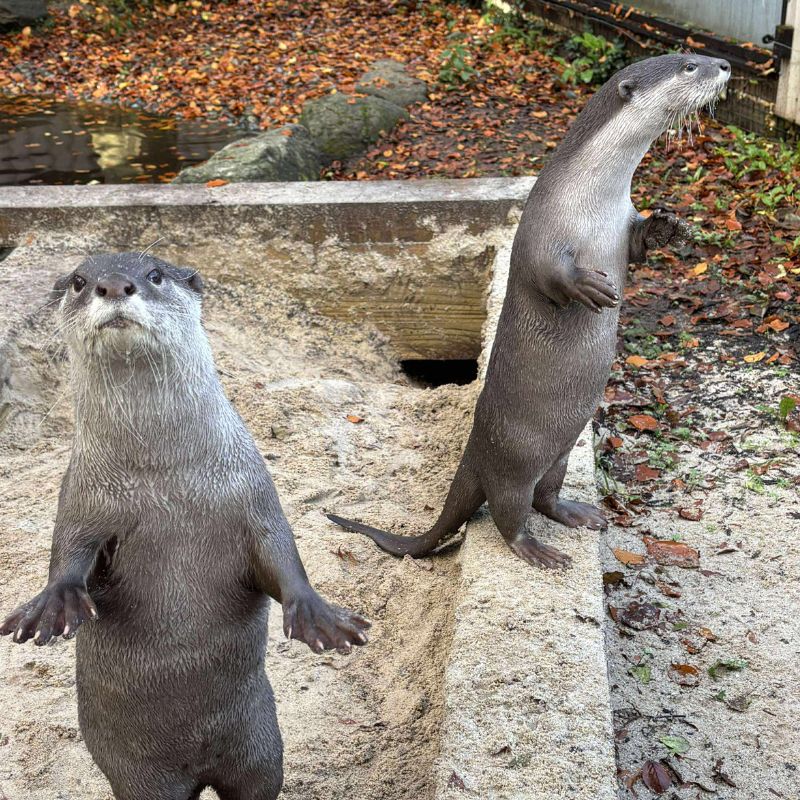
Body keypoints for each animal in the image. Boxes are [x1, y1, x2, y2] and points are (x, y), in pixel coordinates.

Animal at [0, 254, 370, 800]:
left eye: (154, 274)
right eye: (80, 281)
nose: (114, 285)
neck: (168, 479)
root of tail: (197, 765)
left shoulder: (253, 495)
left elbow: (281, 553)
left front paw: (318, 614)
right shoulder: (84, 497)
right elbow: (68, 550)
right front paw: (54, 603)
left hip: (260, 744)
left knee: (257, 781)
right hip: (140, 775)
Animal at [328, 54, 730, 569]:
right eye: (689, 66)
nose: (723, 64)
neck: (592, 200)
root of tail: (474, 455)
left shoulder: (623, 223)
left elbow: (641, 244)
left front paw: (670, 225)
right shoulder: (539, 228)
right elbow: (547, 272)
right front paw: (589, 287)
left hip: (558, 454)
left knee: (546, 495)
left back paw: (580, 515)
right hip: (512, 462)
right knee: (509, 512)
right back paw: (538, 551)